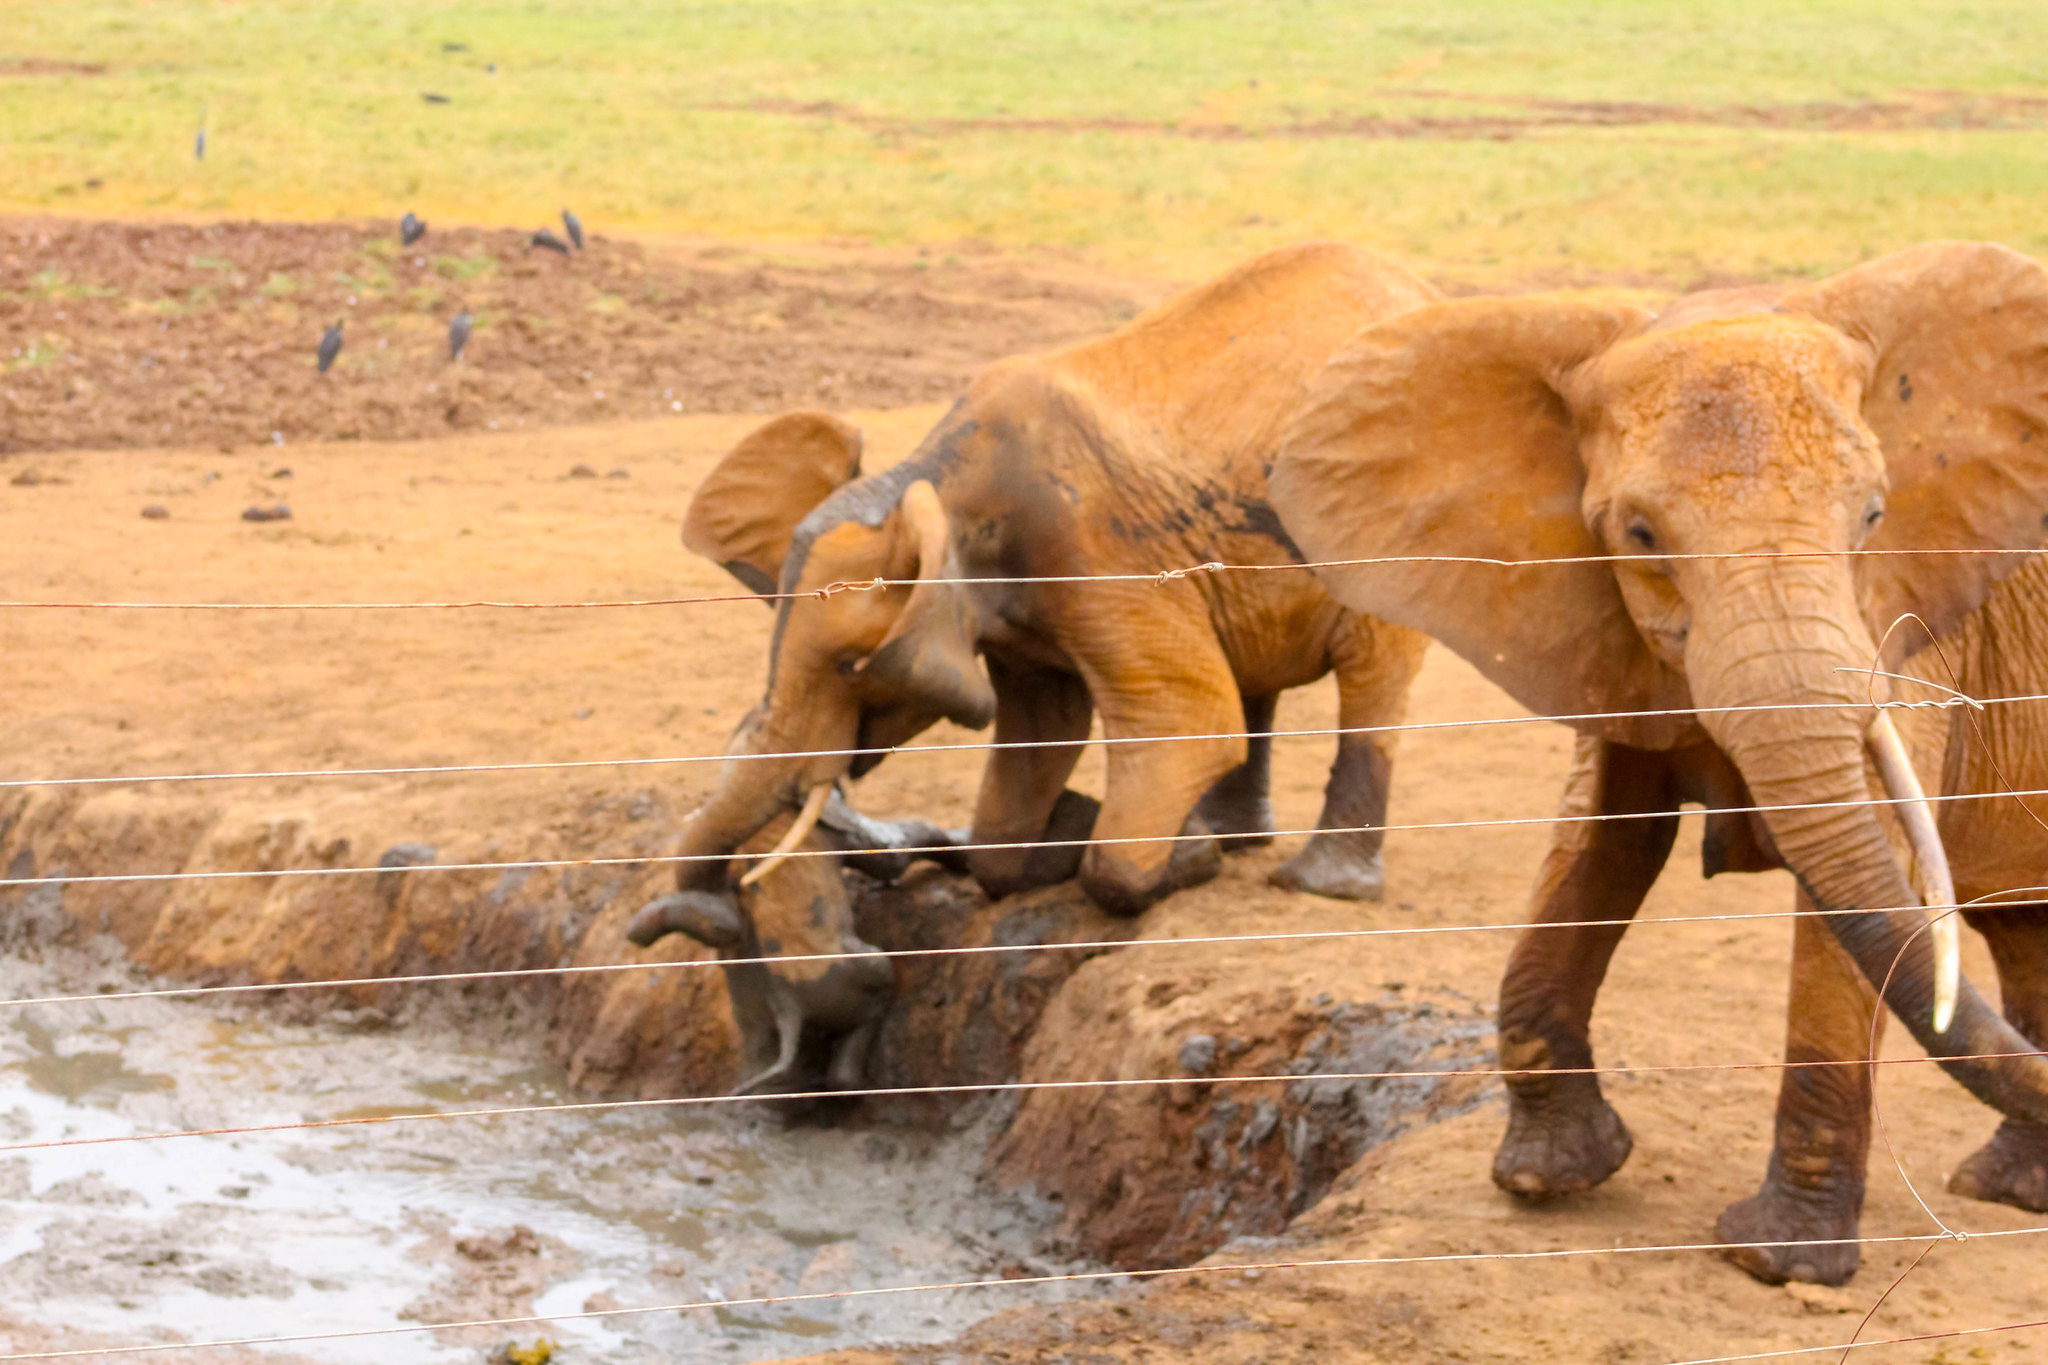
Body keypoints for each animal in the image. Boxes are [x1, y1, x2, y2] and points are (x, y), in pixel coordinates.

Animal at [626, 785, 970, 1096]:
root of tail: (788, 1008)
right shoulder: (839, 828)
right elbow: (892, 856)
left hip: (752, 1011)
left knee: (762, 1059)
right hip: (854, 976)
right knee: (875, 987)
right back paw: (855, 1085)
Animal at [1261, 240, 2048, 1285]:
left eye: (1875, 515)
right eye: (1639, 534)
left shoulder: (1907, 627)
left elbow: (1857, 892)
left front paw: (1778, 1264)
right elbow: (1601, 842)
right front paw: (1552, 1176)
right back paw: (2009, 1189)